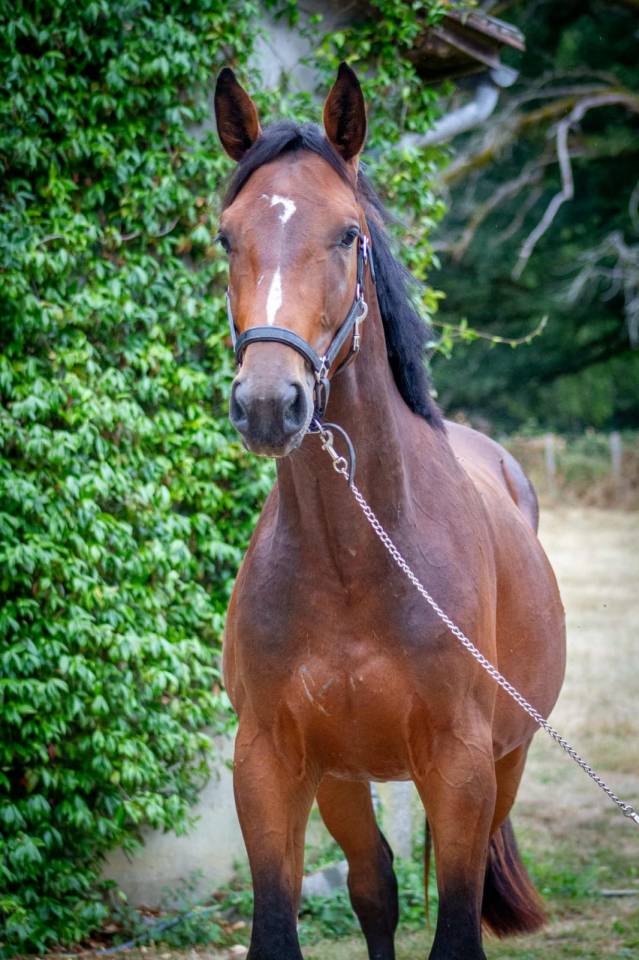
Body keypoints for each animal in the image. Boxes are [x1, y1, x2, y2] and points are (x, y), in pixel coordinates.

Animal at [214, 62, 566, 960]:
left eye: (347, 234)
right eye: (226, 236)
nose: (268, 403)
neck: (354, 560)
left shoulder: (461, 766)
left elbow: (456, 930)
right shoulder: (270, 765)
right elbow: (287, 925)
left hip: (505, 766)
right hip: (343, 778)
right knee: (374, 886)